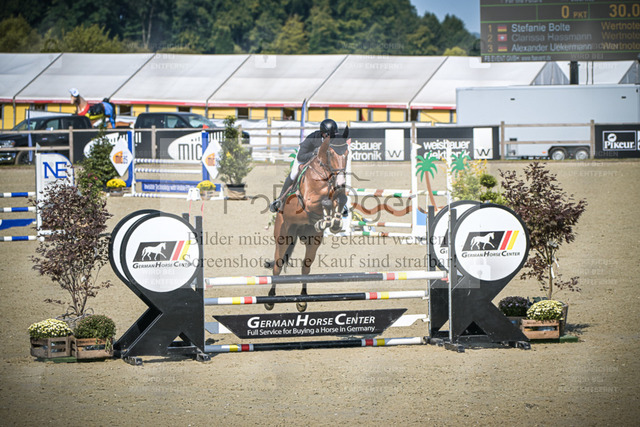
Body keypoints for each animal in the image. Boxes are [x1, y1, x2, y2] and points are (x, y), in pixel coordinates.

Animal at [265, 127, 350, 312]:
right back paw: (270, 300)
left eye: (347, 153)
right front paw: (327, 218)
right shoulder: (308, 202)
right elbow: (323, 202)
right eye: (331, 153)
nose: (341, 182)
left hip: (312, 240)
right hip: (283, 235)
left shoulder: (337, 195)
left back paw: (302, 301)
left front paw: (334, 222)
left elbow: (341, 199)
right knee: (277, 266)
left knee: (305, 268)